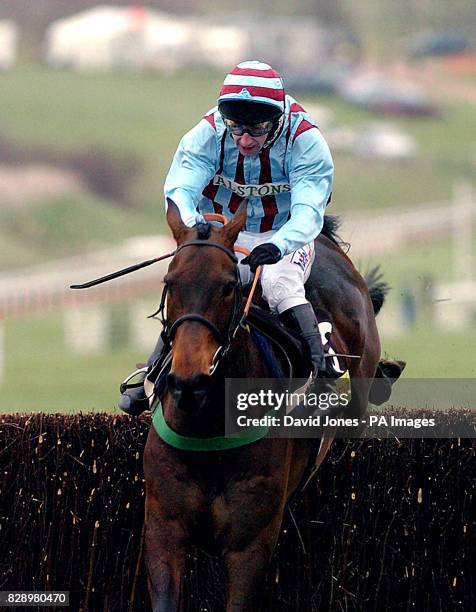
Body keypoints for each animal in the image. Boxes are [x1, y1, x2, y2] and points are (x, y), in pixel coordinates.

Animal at [144, 198, 402, 608]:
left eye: (228, 286)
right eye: (170, 283)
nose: (189, 381)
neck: (208, 430)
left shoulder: (249, 545)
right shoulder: (163, 531)